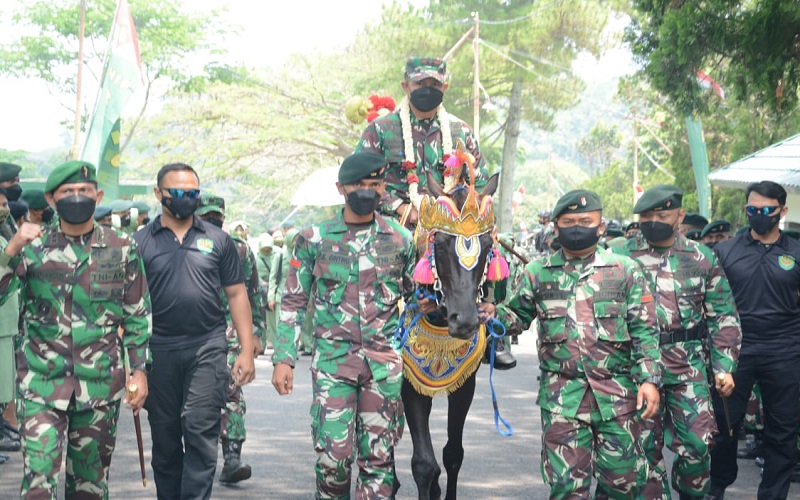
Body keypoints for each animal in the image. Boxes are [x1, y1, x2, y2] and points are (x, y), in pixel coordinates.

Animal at [396, 146, 504, 500]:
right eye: (440, 244)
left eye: (488, 246)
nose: (466, 321)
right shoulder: (410, 382)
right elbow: (424, 463)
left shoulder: (465, 383)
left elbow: (452, 455)